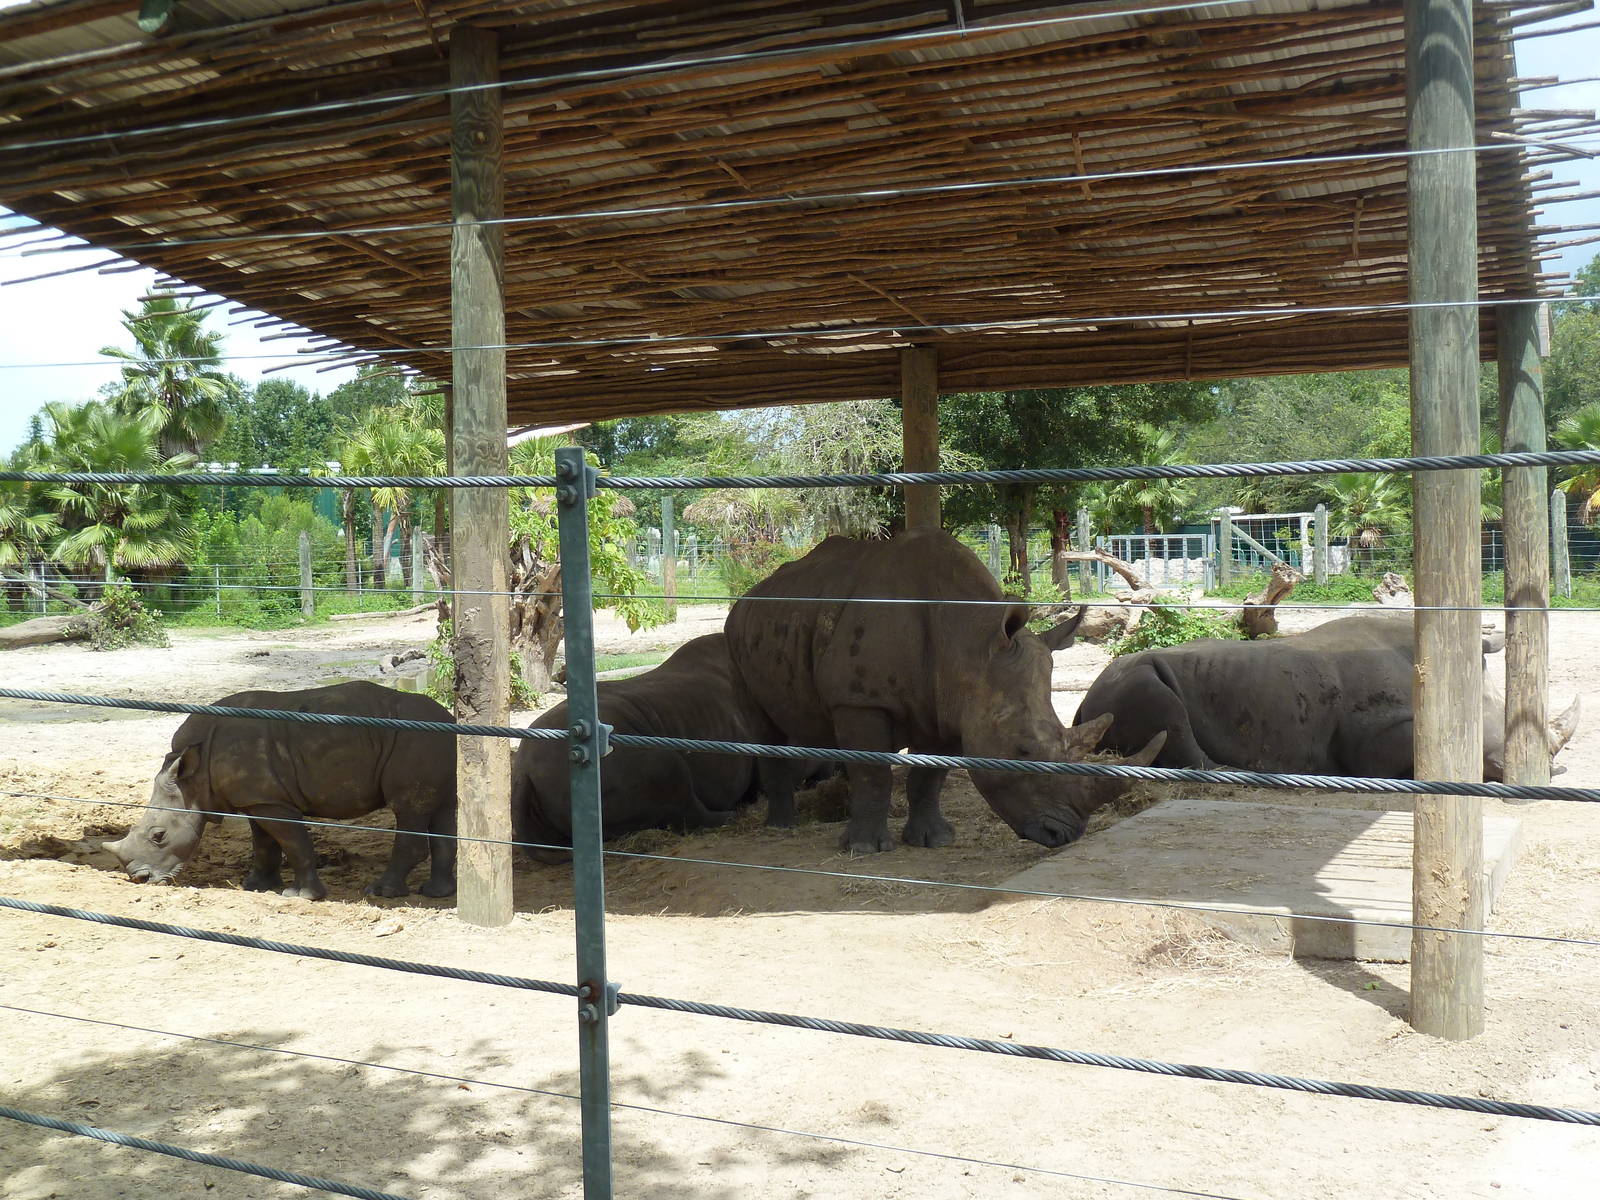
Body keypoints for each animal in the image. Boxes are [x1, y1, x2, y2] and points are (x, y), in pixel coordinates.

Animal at [105, 682, 457, 900]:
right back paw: (437, 892)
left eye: (158, 835)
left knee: (408, 808)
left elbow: (293, 843)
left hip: (416, 740)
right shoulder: (259, 798)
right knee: (443, 810)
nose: (140, 878)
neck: (193, 777)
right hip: (434, 741)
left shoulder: (270, 801)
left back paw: (380, 892)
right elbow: (264, 843)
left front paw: (301, 896)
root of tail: (449, 718)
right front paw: (256, 887)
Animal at [723, 529, 1165, 854]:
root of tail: (750, 594)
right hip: (736, 635)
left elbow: (929, 776)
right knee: (768, 731)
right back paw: (781, 827)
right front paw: (865, 850)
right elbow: (873, 770)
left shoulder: (953, 706)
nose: (1065, 835)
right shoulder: (860, 700)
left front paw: (933, 841)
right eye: (1022, 750)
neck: (970, 643)